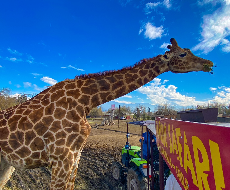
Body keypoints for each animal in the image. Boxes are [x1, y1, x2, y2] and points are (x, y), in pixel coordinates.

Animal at [0, 37, 213, 189]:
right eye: (183, 54)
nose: (209, 63)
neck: (85, 101)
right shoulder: (61, 158)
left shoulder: (74, 157)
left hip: (7, 163)